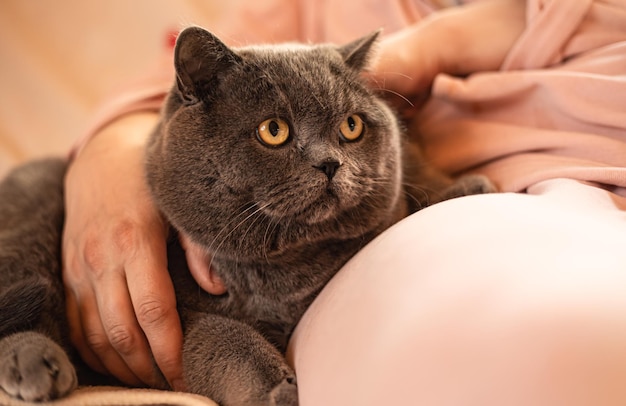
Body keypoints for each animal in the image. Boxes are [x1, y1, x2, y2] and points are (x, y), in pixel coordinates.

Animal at [0, 27, 492, 404]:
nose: (330, 163)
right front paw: (276, 387)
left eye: (351, 126)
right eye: (273, 131)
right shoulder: (170, 330)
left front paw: (469, 188)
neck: (285, 274)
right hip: (38, 195)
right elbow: (223, 338)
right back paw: (36, 362)